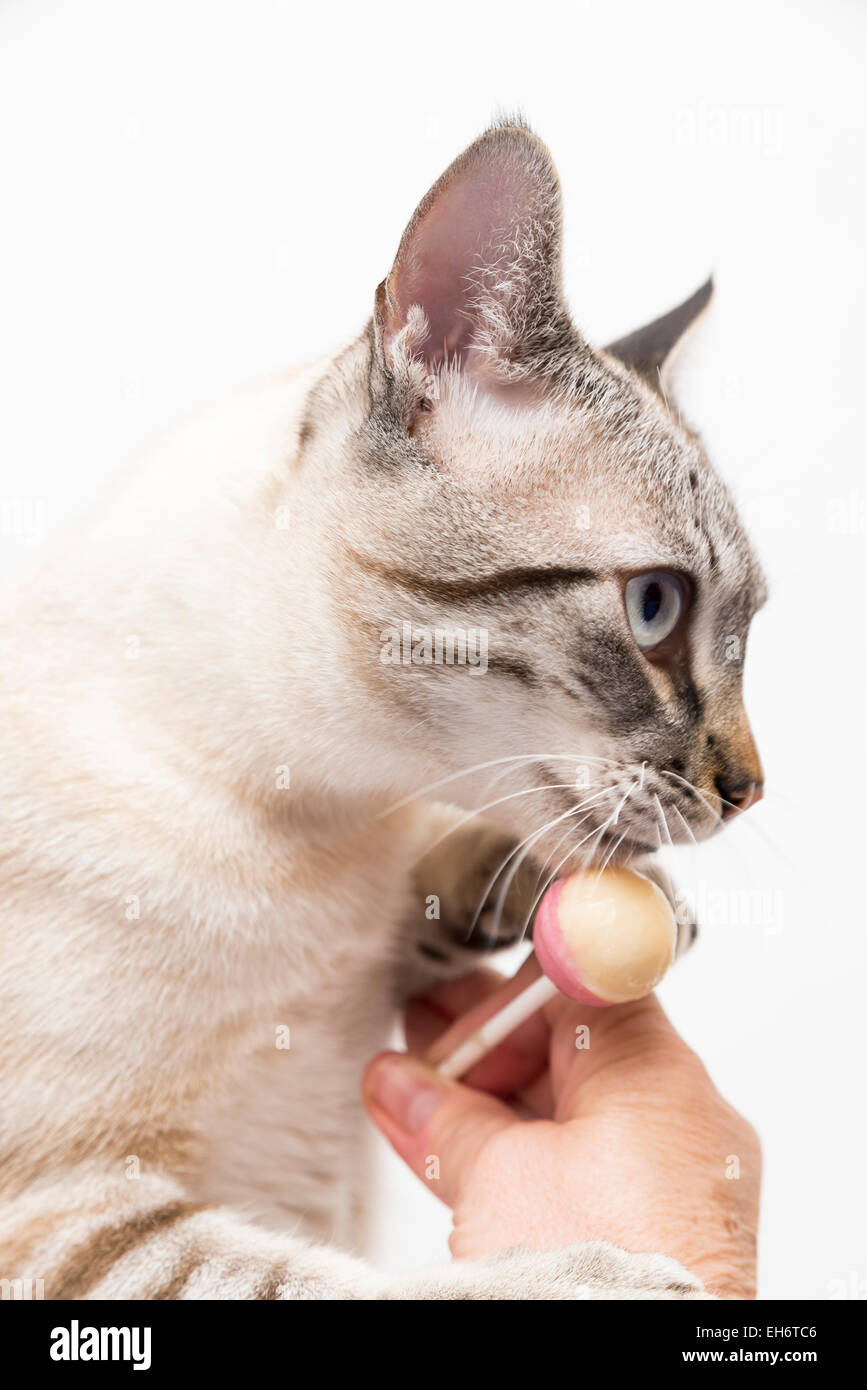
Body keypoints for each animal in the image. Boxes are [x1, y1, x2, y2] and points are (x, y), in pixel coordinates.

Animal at [0, 122, 755, 1301]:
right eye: (655, 608)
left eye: (751, 626)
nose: (751, 790)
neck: (322, 817)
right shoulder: (67, 1211)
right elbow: (339, 1281)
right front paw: (605, 1274)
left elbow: (429, 895)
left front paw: (562, 901)